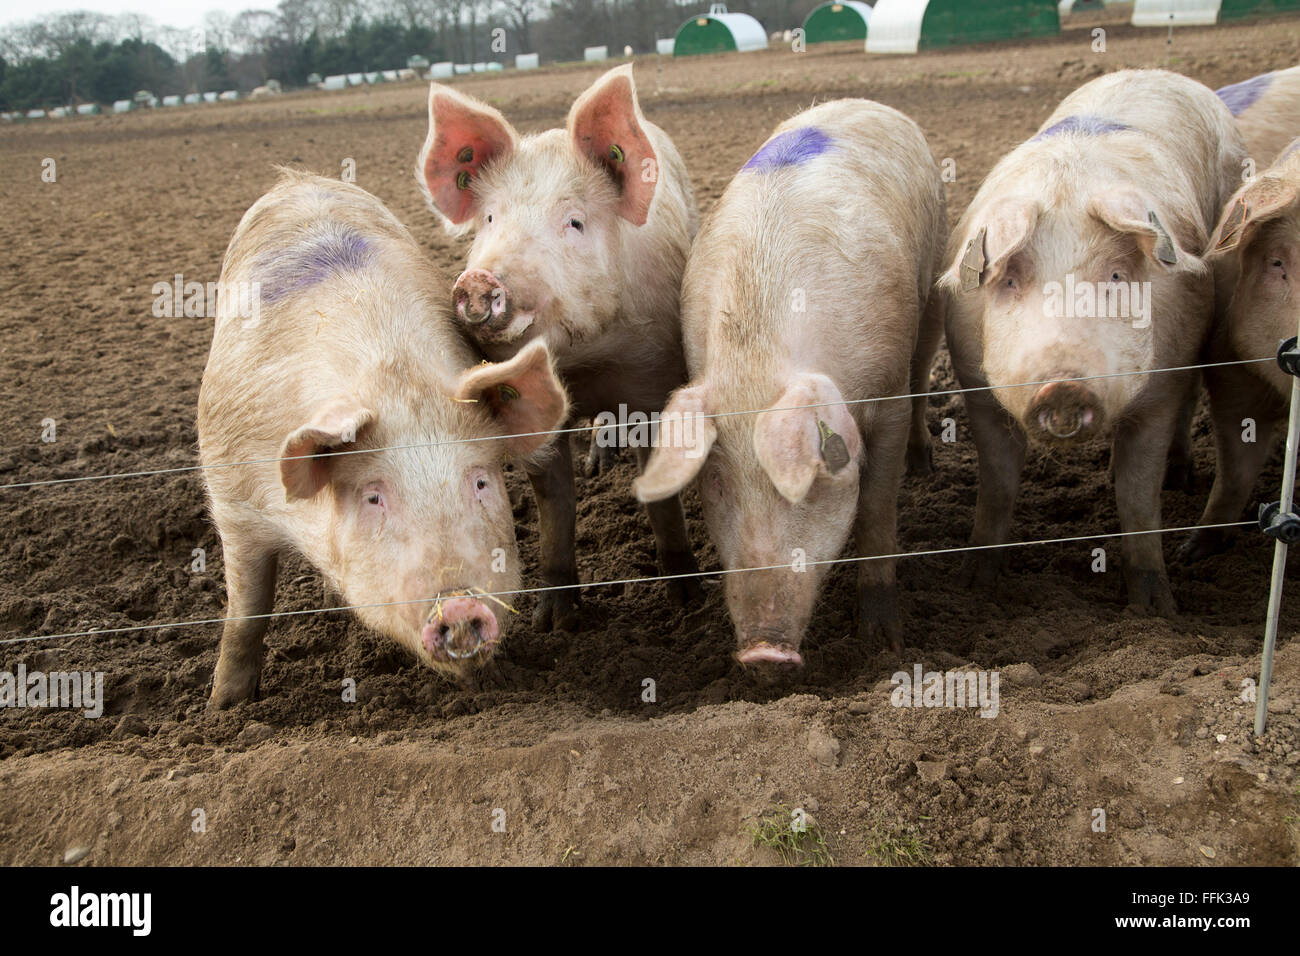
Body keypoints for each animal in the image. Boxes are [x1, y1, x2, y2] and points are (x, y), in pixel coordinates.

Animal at [196, 171, 569, 712]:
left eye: (481, 482)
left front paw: (490, 688)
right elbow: (247, 611)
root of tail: (295, 179)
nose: (459, 607)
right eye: (373, 497)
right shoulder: (231, 496)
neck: (394, 384)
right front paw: (222, 708)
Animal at [416, 67, 702, 634]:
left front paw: (687, 602)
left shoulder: (652, 378)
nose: (479, 281)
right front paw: (553, 624)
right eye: (488, 219)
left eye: (574, 222)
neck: (583, 363)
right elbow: (554, 503)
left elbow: (660, 495)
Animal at [629, 98, 946, 665]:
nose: (763, 653)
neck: (756, 360)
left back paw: (923, 463)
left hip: (932, 277)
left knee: (924, 365)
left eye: (816, 475)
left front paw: (884, 647)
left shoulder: (887, 394)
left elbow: (876, 511)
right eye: (716, 481)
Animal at [941, 70, 1242, 616]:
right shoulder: (975, 383)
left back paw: (1179, 478)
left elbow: (1138, 497)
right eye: (1010, 280)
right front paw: (973, 586)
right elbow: (997, 486)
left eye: (1118, 276)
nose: (1063, 387)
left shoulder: (1160, 387)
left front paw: (1156, 610)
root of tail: (1156, 71)